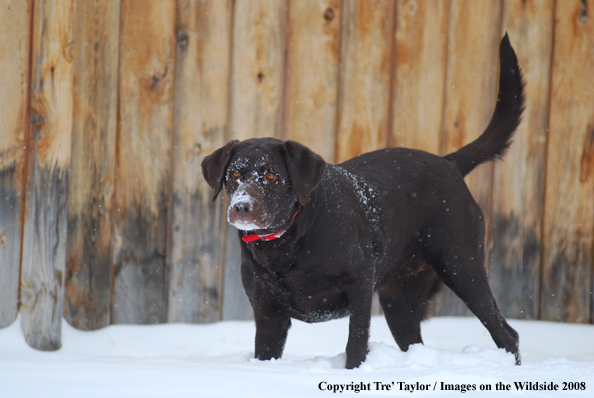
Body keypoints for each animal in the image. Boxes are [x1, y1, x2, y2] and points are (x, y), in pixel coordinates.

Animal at [201, 35, 520, 368]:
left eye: (271, 176)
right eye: (234, 174)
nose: (242, 207)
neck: (285, 243)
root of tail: (449, 163)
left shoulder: (361, 282)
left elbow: (356, 340)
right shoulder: (268, 315)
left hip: (462, 266)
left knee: (506, 333)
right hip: (400, 299)